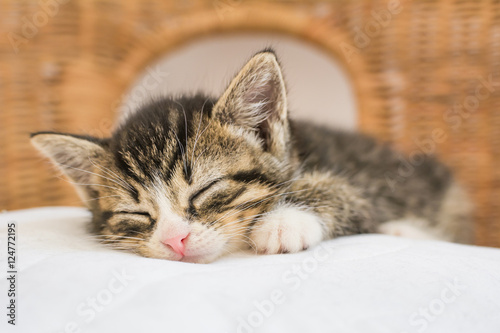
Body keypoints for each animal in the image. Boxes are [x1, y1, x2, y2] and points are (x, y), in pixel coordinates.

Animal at [31, 49, 472, 262]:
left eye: (205, 190)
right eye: (136, 214)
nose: (175, 240)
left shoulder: (369, 181)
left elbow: (348, 192)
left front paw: (285, 220)